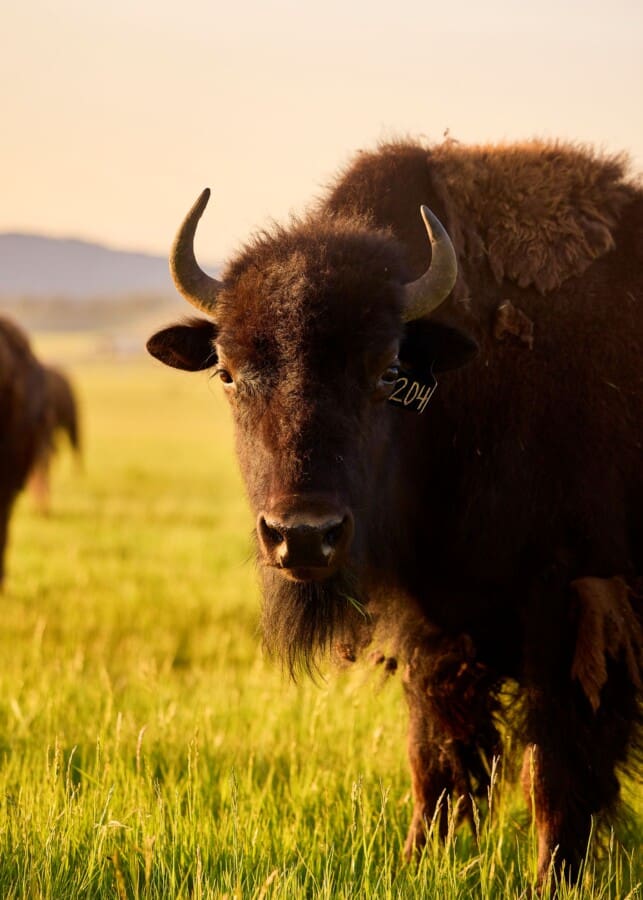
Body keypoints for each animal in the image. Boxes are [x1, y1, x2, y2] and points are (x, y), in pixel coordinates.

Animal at [147, 139, 642, 881]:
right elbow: (435, 756)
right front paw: (415, 861)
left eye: (387, 371)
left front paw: (551, 879)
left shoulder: (571, 609)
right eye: (228, 373)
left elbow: (554, 772)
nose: (302, 537)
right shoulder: (430, 626)